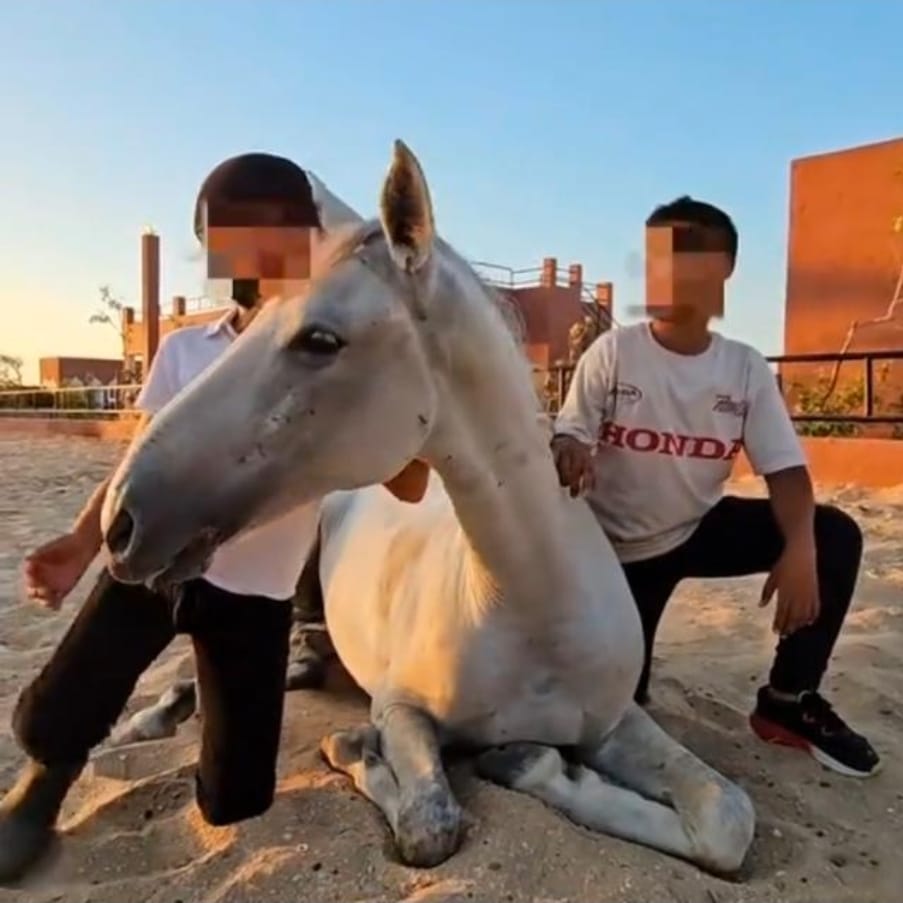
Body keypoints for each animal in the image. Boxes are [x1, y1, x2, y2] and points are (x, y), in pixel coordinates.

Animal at [98, 140, 755, 874]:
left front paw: (530, 761)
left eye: (320, 340)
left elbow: (727, 818)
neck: (530, 610)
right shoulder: (403, 711)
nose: (120, 520)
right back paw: (152, 716)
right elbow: (428, 823)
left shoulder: (616, 721)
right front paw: (355, 747)